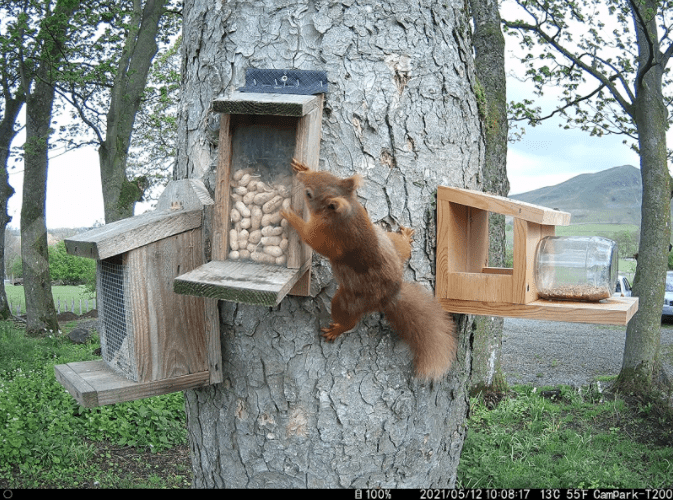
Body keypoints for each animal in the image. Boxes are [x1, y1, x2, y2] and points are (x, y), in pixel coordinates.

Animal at [280, 159, 457, 381]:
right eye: (324, 173)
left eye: (309, 194)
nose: (300, 178)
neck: (346, 215)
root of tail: (390, 296)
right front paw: (303, 167)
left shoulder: (331, 238)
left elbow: (310, 238)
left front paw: (289, 214)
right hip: (393, 244)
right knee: (403, 247)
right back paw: (406, 236)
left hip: (348, 301)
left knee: (348, 319)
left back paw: (337, 329)